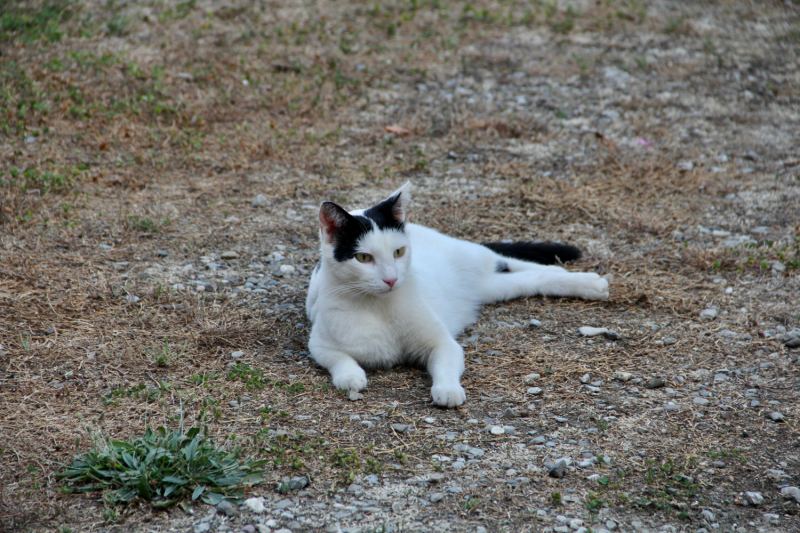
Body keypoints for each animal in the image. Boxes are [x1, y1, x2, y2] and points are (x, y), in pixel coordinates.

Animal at [304, 183, 608, 408]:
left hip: (475, 258)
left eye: (398, 252)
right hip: (492, 288)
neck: (380, 307)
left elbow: (446, 364)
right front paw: (351, 376)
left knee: (509, 260)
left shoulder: (442, 343)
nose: (391, 279)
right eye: (364, 258)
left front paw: (448, 390)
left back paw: (589, 282)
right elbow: (338, 358)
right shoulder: (318, 342)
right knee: (528, 278)